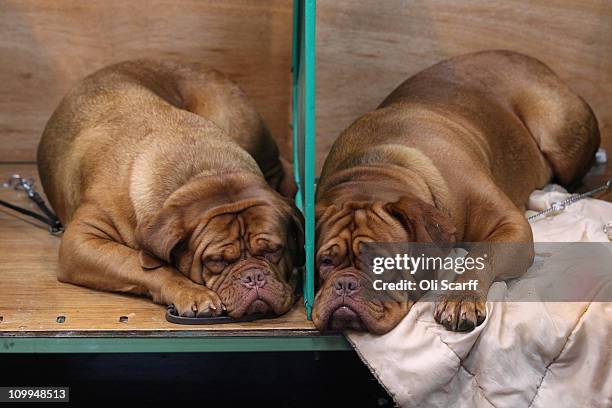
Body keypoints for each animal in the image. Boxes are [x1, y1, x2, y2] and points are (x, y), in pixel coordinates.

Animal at [37, 59, 304, 318]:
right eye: (215, 261)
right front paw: (192, 292)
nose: (253, 277)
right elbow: (140, 264)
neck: (204, 173)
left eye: (274, 250)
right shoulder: (81, 241)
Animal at [314, 49, 600, 334]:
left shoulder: (512, 225)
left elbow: (481, 254)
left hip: (557, 133)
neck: (380, 169)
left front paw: (461, 298)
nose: (345, 284)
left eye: (380, 265)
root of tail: (540, 65)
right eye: (325, 262)